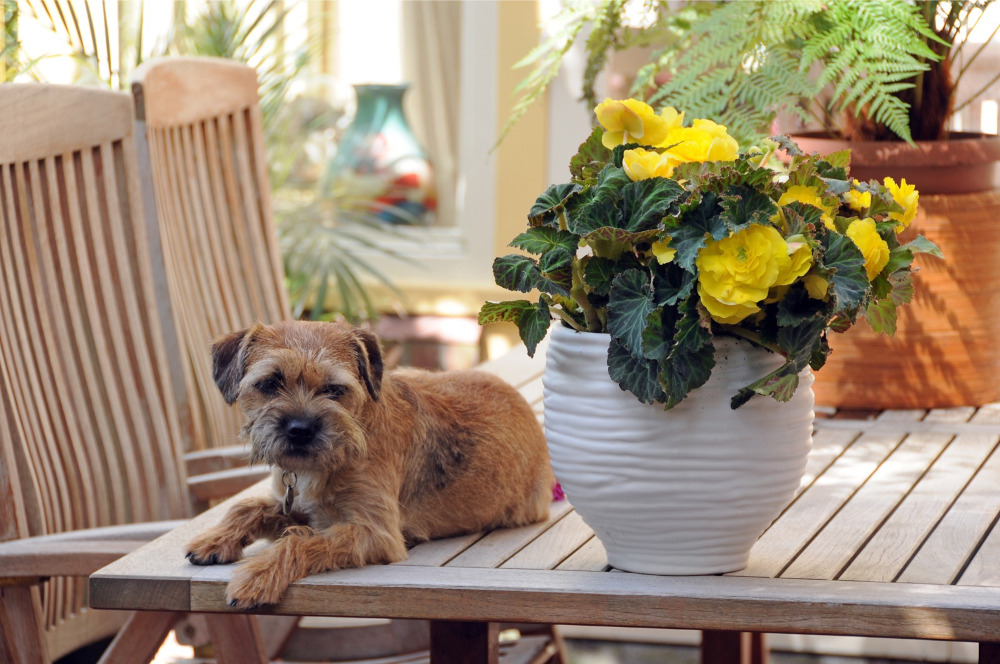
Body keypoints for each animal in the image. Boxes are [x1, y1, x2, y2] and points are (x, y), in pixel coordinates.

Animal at [186, 320, 556, 608]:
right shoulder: (299, 505)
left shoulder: (375, 532)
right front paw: (213, 541)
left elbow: (300, 540)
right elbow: (247, 506)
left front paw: (258, 575)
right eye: (269, 383)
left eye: (334, 389)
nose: (300, 429)